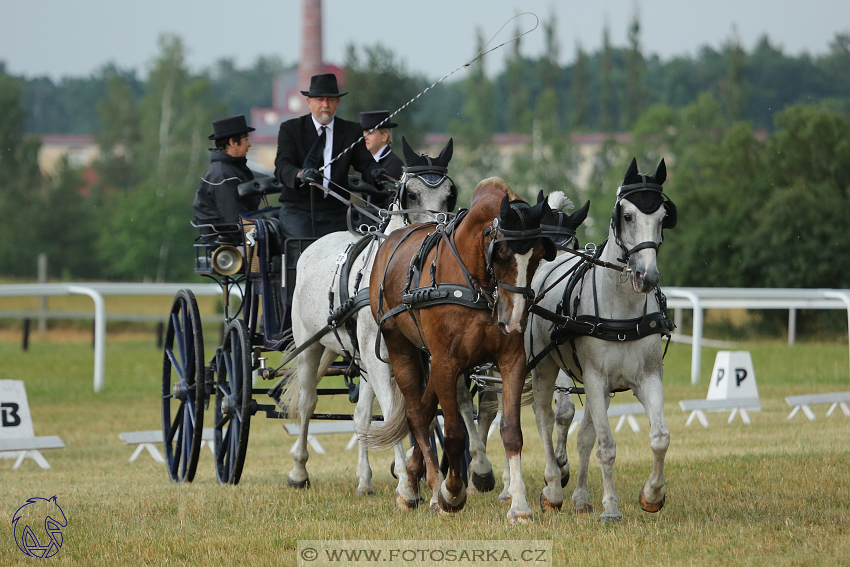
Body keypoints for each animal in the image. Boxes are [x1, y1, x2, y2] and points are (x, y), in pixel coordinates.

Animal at [284, 138, 458, 496]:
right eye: (411, 194)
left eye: (450, 194)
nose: (435, 233)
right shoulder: (381, 359)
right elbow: (394, 413)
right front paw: (406, 482)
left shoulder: (420, 355)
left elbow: (418, 412)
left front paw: (420, 472)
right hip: (311, 346)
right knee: (307, 403)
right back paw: (298, 471)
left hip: (362, 357)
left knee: (361, 415)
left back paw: (364, 480)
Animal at [366, 178, 552, 524]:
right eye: (502, 252)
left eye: (536, 256)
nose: (514, 320)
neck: (474, 282)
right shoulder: (445, 363)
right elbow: (453, 434)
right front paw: (452, 492)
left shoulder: (511, 361)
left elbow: (511, 432)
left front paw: (519, 506)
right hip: (401, 349)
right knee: (416, 413)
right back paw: (425, 490)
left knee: (424, 410)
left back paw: (415, 481)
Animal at [524, 158, 676, 520]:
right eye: (628, 215)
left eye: (663, 216)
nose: (647, 277)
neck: (620, 311)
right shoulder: (594, 378)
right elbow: (606, 447)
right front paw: (611, 508)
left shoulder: (646, 378)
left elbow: (658, 437)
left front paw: (652, 494)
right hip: (544, 368)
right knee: (543, 418)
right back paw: (552, 487)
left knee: (581, 434)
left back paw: (579, 497)